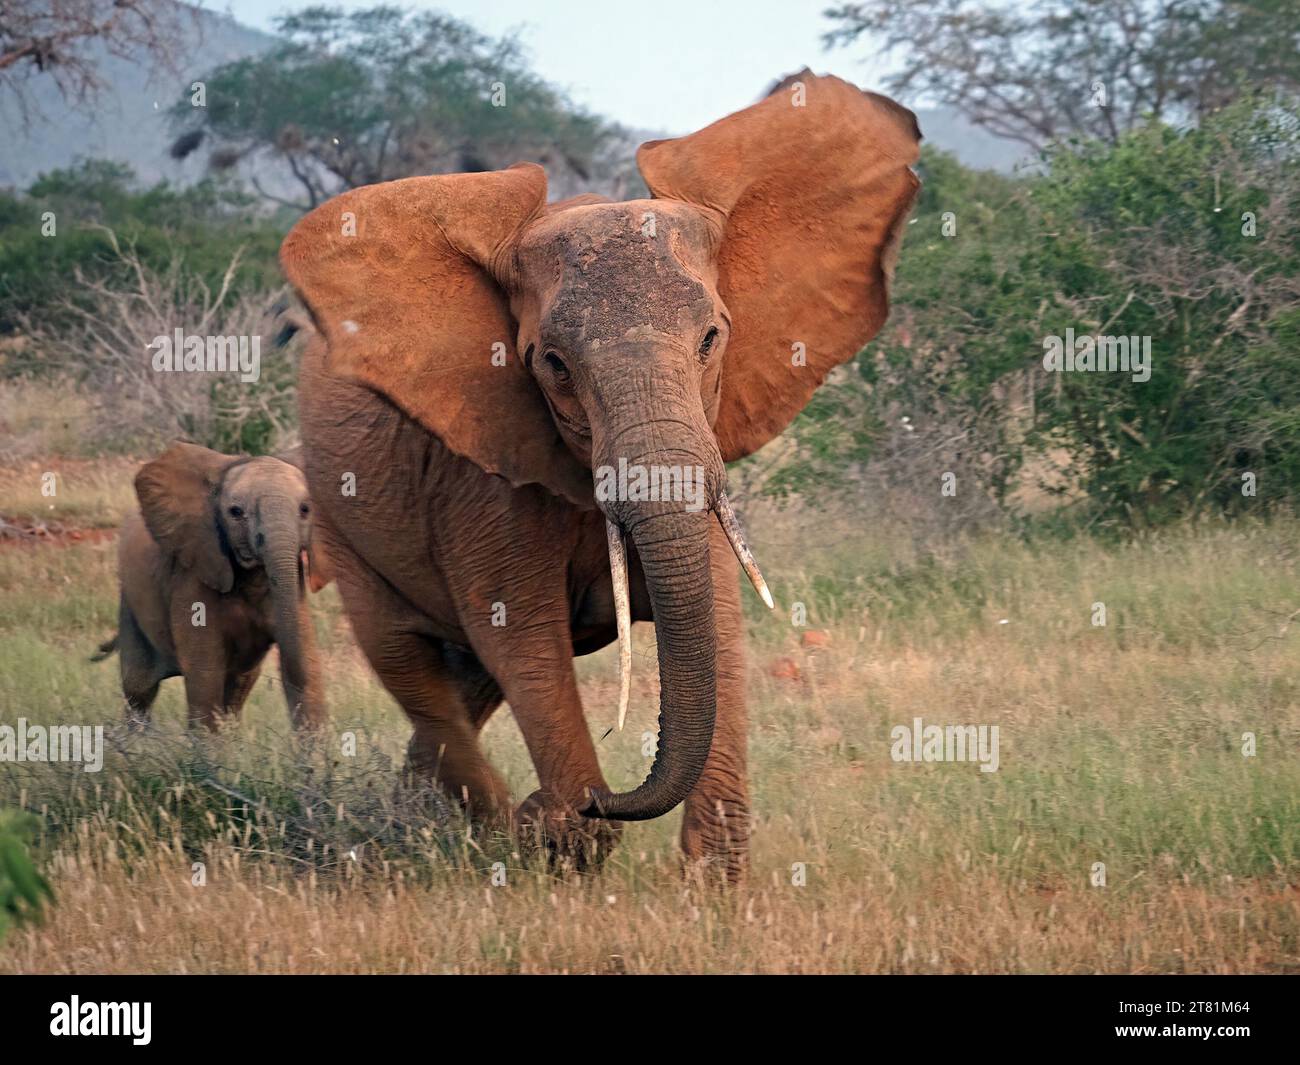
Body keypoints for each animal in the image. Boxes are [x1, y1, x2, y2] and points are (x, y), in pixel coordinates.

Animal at [94, 443, 327, 730]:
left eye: (306, 509)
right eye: (235, 512)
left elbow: (306, 659)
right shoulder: (194, 574)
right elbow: (205, 671)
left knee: (238, 687)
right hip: (130, 605)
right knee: (139, 688)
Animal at [279, 72, 920, 879]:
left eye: (713, 337)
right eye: (552, 364)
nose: (601, 794)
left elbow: (715, 614)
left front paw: (713, 888)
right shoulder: (480, 470)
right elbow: (523, 633)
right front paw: (562, 831)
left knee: (467, 681)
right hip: (339, 520)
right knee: (409, 661)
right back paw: (484, 822)